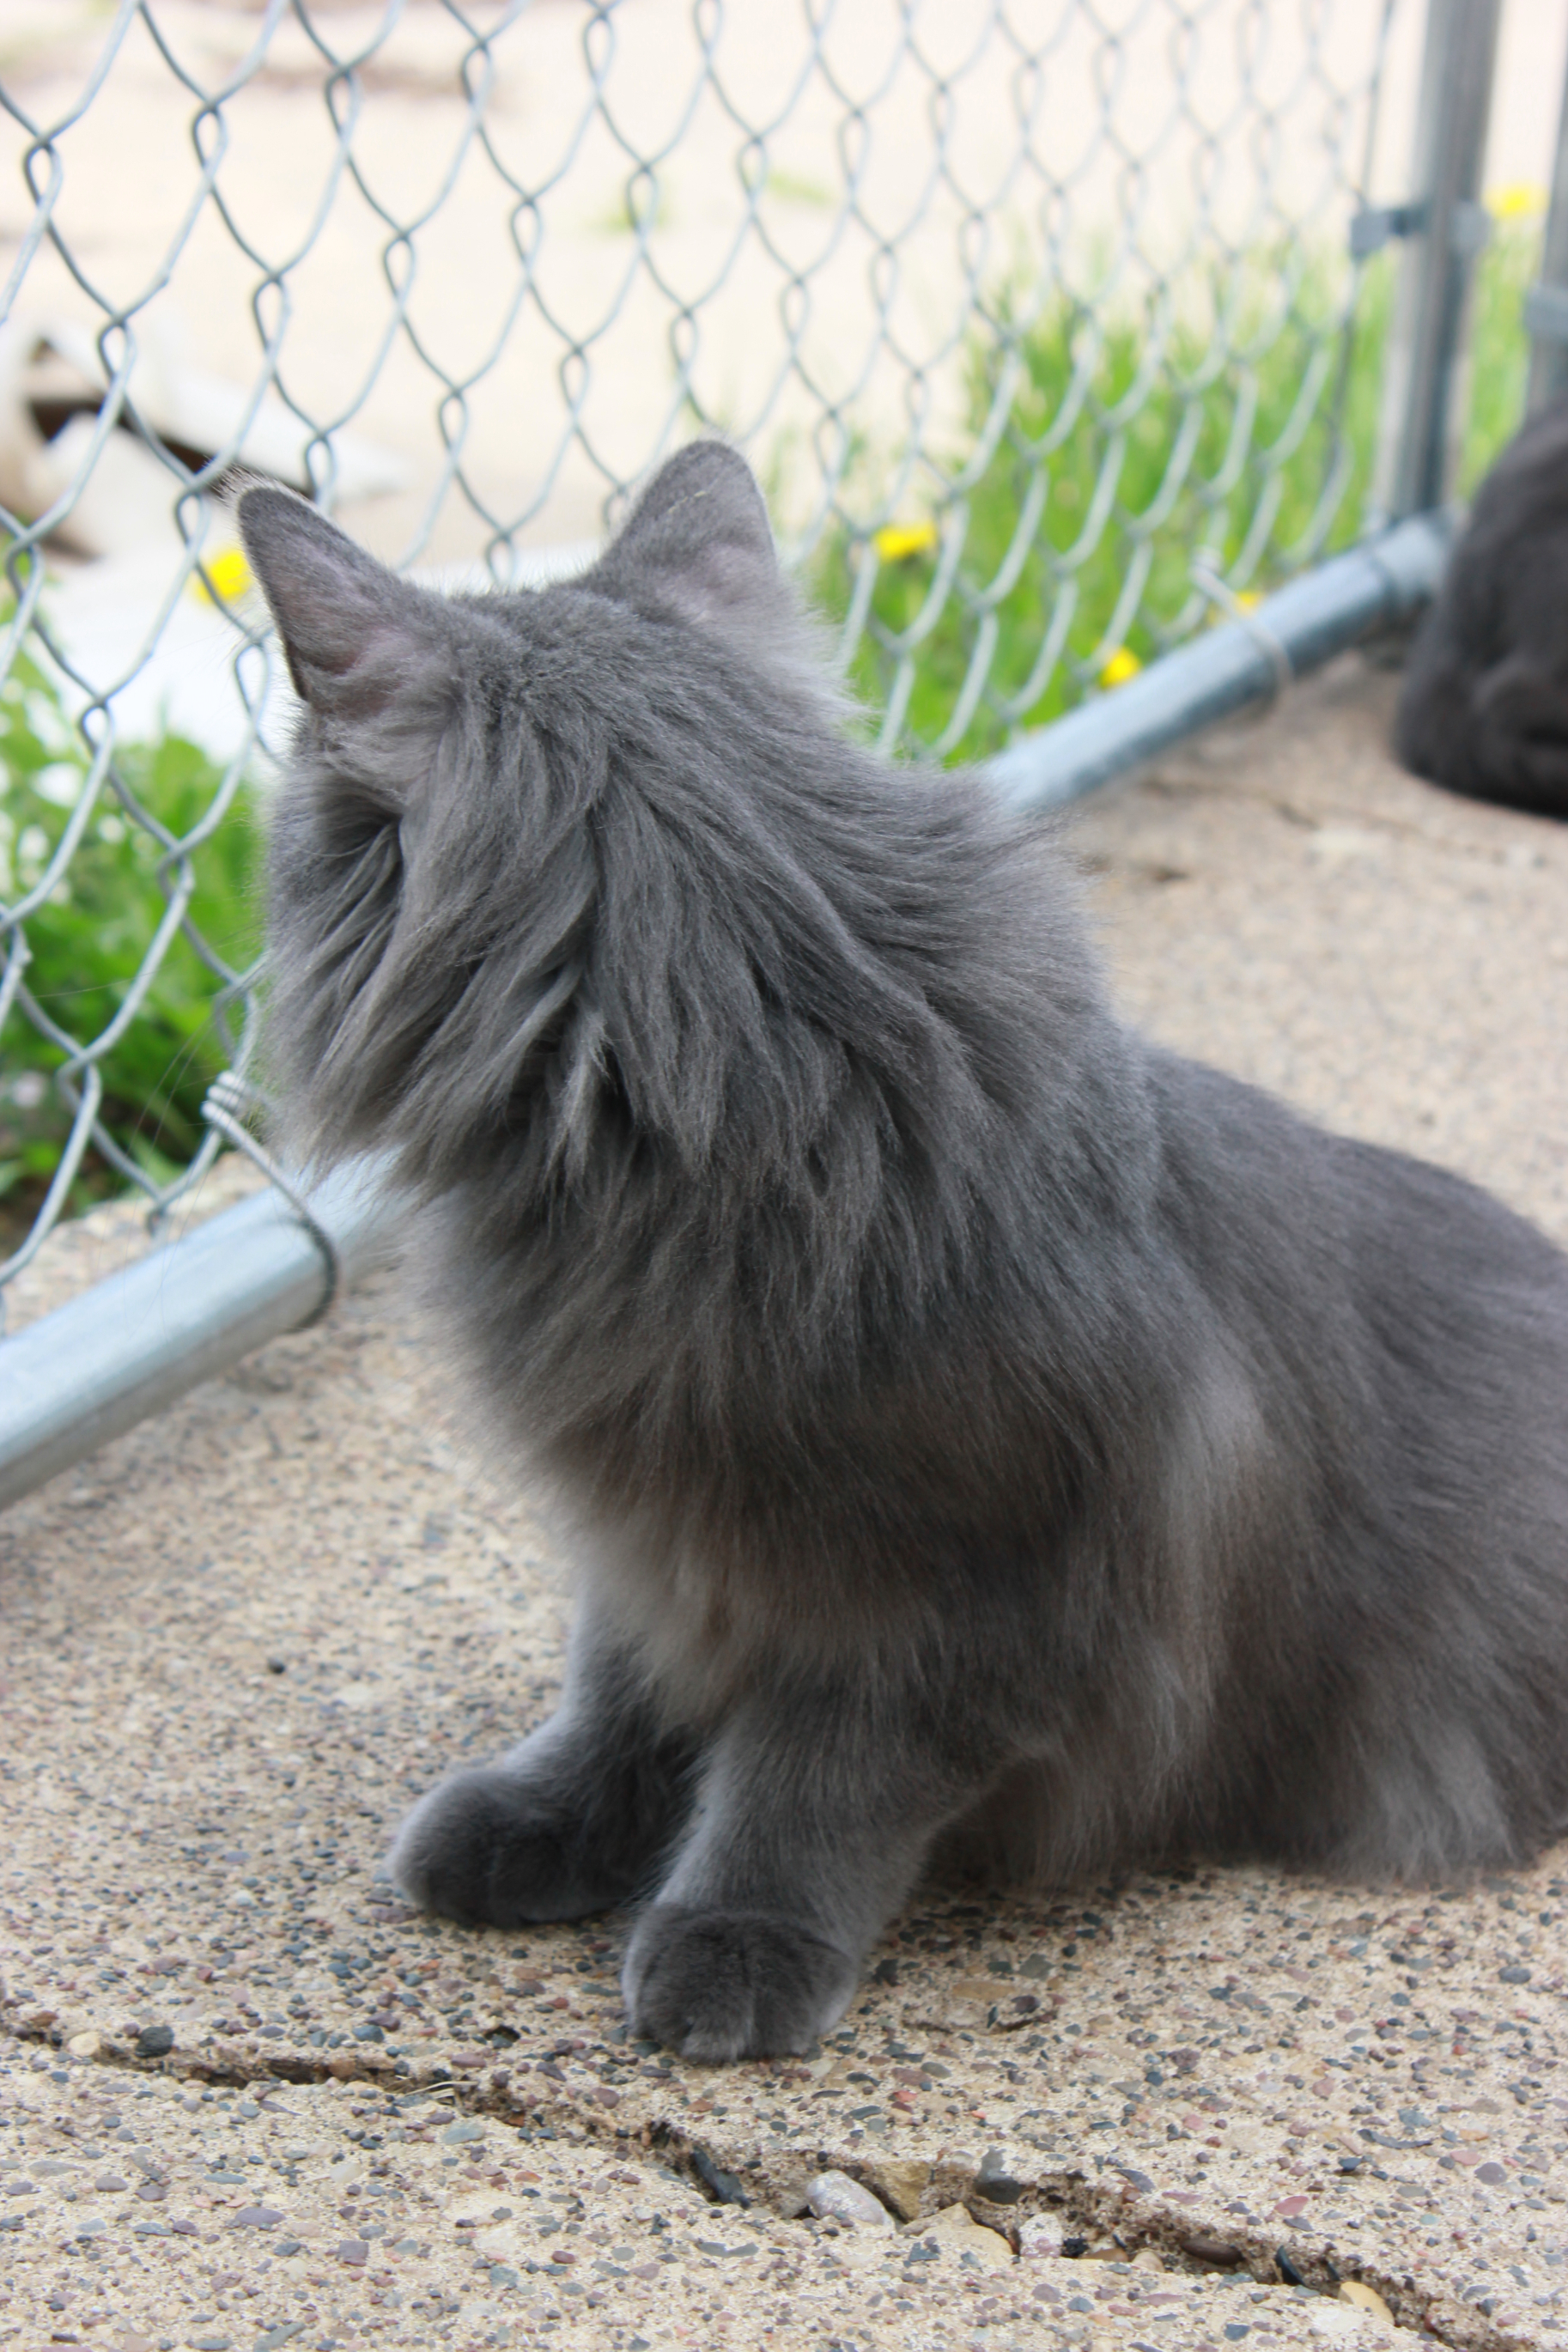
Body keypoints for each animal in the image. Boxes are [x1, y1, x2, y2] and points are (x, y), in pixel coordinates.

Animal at [240, 444, 1568, 2060]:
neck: (756, 1093)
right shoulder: (648, 1533)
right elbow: (617, 1691)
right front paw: (541, 1824)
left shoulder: (960, 1599)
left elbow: (807, 1784)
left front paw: (728, 1944)